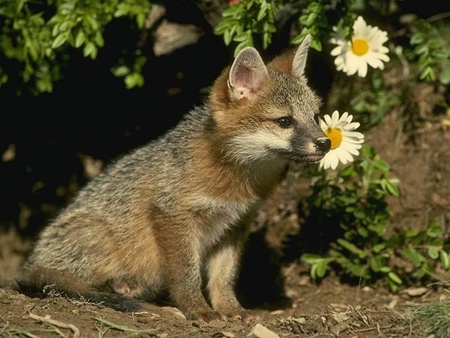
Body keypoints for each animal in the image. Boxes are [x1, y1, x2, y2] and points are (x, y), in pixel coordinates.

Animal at [14, 35, 330, 320]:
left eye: (315, 117)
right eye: (284, 121)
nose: (326, 143)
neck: (236, 182)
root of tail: (32, 261)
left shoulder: (235, 224)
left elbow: (224, 276)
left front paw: (229, 308)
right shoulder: (172, 215)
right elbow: (186, 274)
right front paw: (197, 309)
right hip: (100, 237)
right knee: (77, 285)